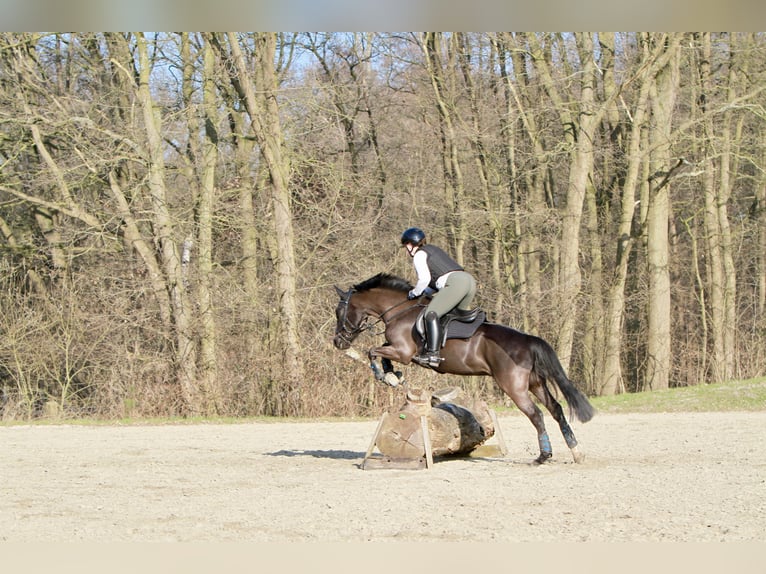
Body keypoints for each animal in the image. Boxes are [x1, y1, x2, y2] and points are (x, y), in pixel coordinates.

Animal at [332, 272, 595, 464]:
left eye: (339, 311)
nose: (338, 342)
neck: (398, 310)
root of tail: (528, 341)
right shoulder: (398, 350)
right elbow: (381, 352)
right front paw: (393, 375)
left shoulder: (404, 352)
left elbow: (373, 351)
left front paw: (386, 376)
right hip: (535, 383)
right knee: (556, 409)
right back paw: (576, 452)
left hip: (514, 387)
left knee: (536, 414)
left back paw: (543, 456)